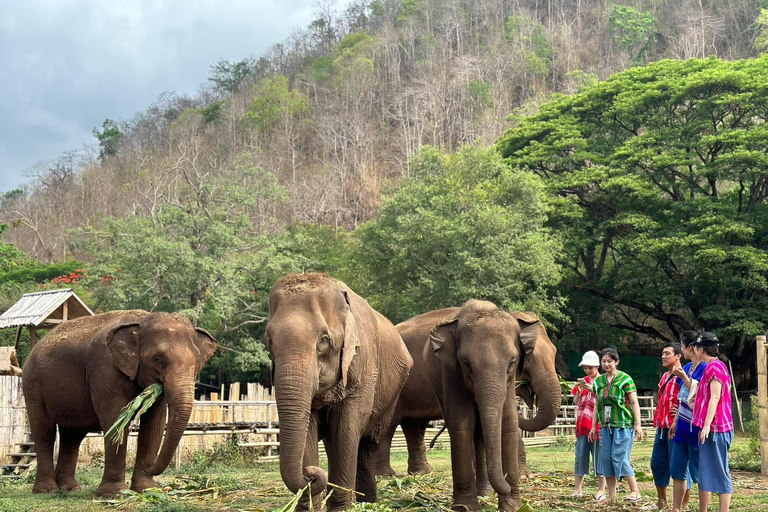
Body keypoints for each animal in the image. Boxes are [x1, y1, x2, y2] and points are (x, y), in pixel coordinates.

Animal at [22, 310, 217, 497]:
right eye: (159, 359)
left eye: (196, 363)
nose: (153, 470)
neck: (144, 320)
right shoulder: (105, 368)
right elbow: (115, 419)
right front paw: (115, 494)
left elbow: (154, 423)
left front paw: (148, 489)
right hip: (32, 386)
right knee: (44, 433)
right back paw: (47, 490)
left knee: (72, 437)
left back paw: (70, 489)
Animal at [265, 273, 412, 511]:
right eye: (268, 340)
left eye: (324, 341)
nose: (310, 475)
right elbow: (309, 425)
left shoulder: (363, 366)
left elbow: (347, 426)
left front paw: (342, 508)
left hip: (393, 396)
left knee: (367, 445)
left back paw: (366, 501)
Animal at [374, 307, 561, 483]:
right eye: (530, 358)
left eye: (554, 353)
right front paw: (522, 476)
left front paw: (523, 475)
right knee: (389, 426)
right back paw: (386, 474)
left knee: (414, 426)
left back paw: (422, 473)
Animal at [422, 300, 562, 512]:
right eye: (467, 364)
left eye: (512, 362)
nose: (505, 485)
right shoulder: (451, 373)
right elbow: (462, 424)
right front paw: (466, 507)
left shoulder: (509, 382)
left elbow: (508, 422)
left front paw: (512, 506)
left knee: (481, 433)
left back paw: (485, 493)